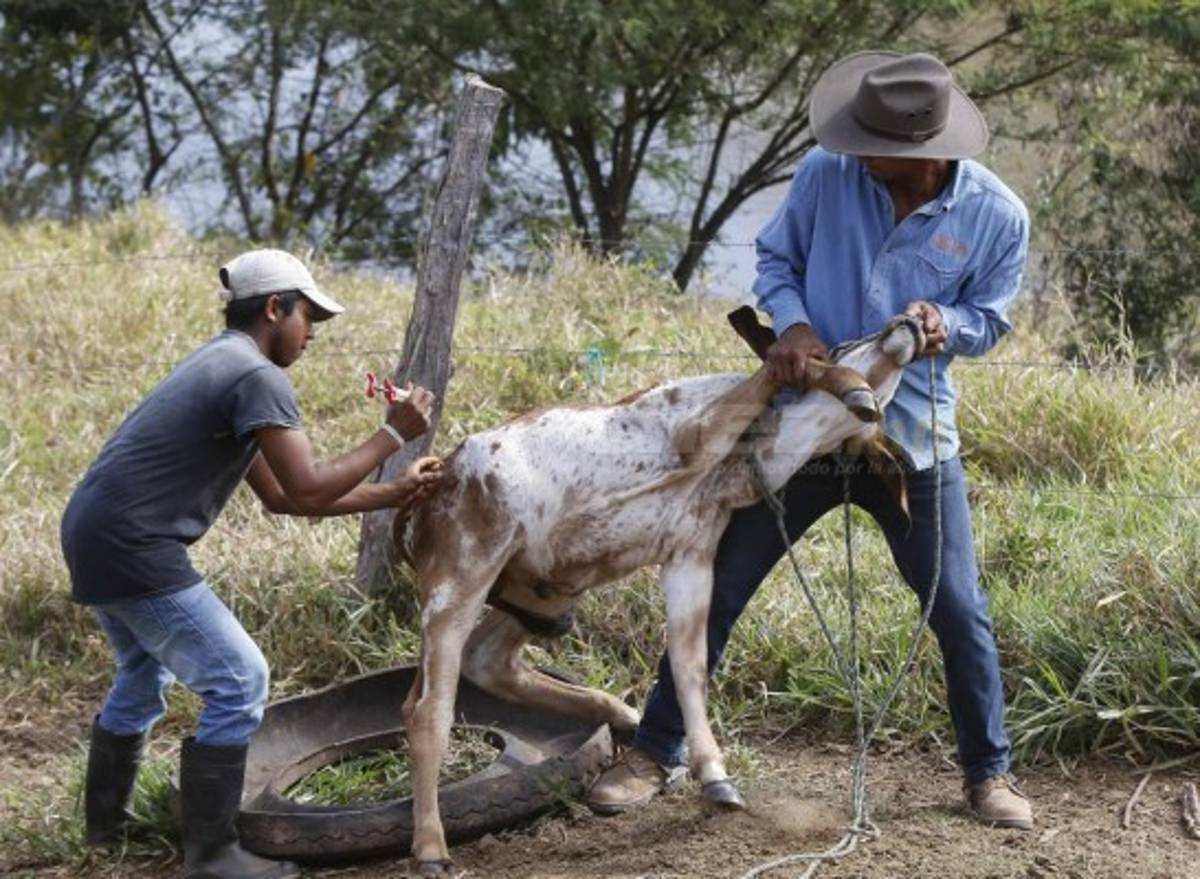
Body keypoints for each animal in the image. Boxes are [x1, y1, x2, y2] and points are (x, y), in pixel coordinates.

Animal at [395, 313, 926, 873]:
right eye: (848, 342)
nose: (911, 322)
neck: (748, 459)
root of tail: (431, 485)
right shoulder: (698, 426)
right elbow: (774, 371)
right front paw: (850, 387)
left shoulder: (689, 555)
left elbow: (689, 668)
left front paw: (714, 774)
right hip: (461, 575)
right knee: (427, 710)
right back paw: (430, 845)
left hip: (547, 590)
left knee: (487, 661)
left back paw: (621, 714)